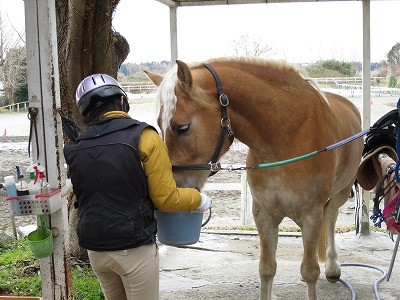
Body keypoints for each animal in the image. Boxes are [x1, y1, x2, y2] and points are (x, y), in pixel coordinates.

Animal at [145, 57, 364, 298]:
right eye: (159, 124)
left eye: (182, 128)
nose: (174, 186)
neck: (286, 137)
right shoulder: (263, 215)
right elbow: (267, 268)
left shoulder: (311, 217)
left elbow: (310, 271)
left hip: (341, 193)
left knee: (331, 216)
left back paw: (333, 267)